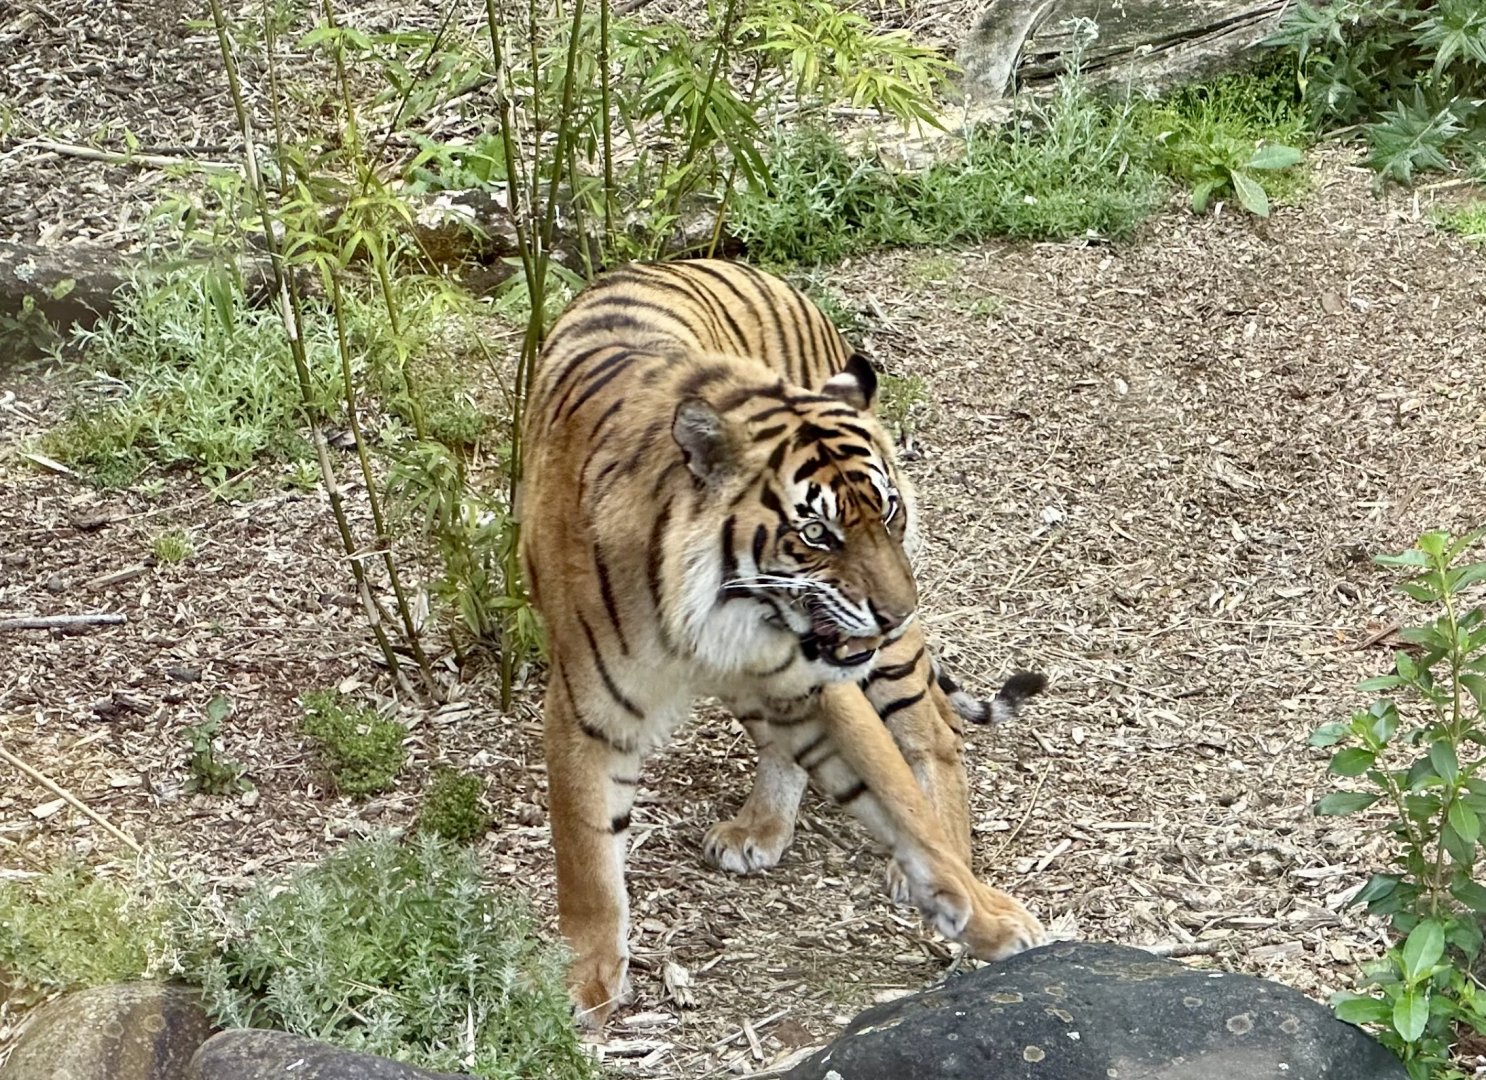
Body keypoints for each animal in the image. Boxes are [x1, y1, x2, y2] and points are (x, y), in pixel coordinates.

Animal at [518, 258, 1047, 1028]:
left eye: (888, 511)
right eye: (817, 534)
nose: (897, 611)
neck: (720, 613)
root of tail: (732, 262)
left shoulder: (821, 681)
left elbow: (901, 804)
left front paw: (987, 917)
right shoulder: (587, 712)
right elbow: (585, 854)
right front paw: (586, 983)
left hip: (884, 669)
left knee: (935, 736)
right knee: (786, 746)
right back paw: (762, 827)